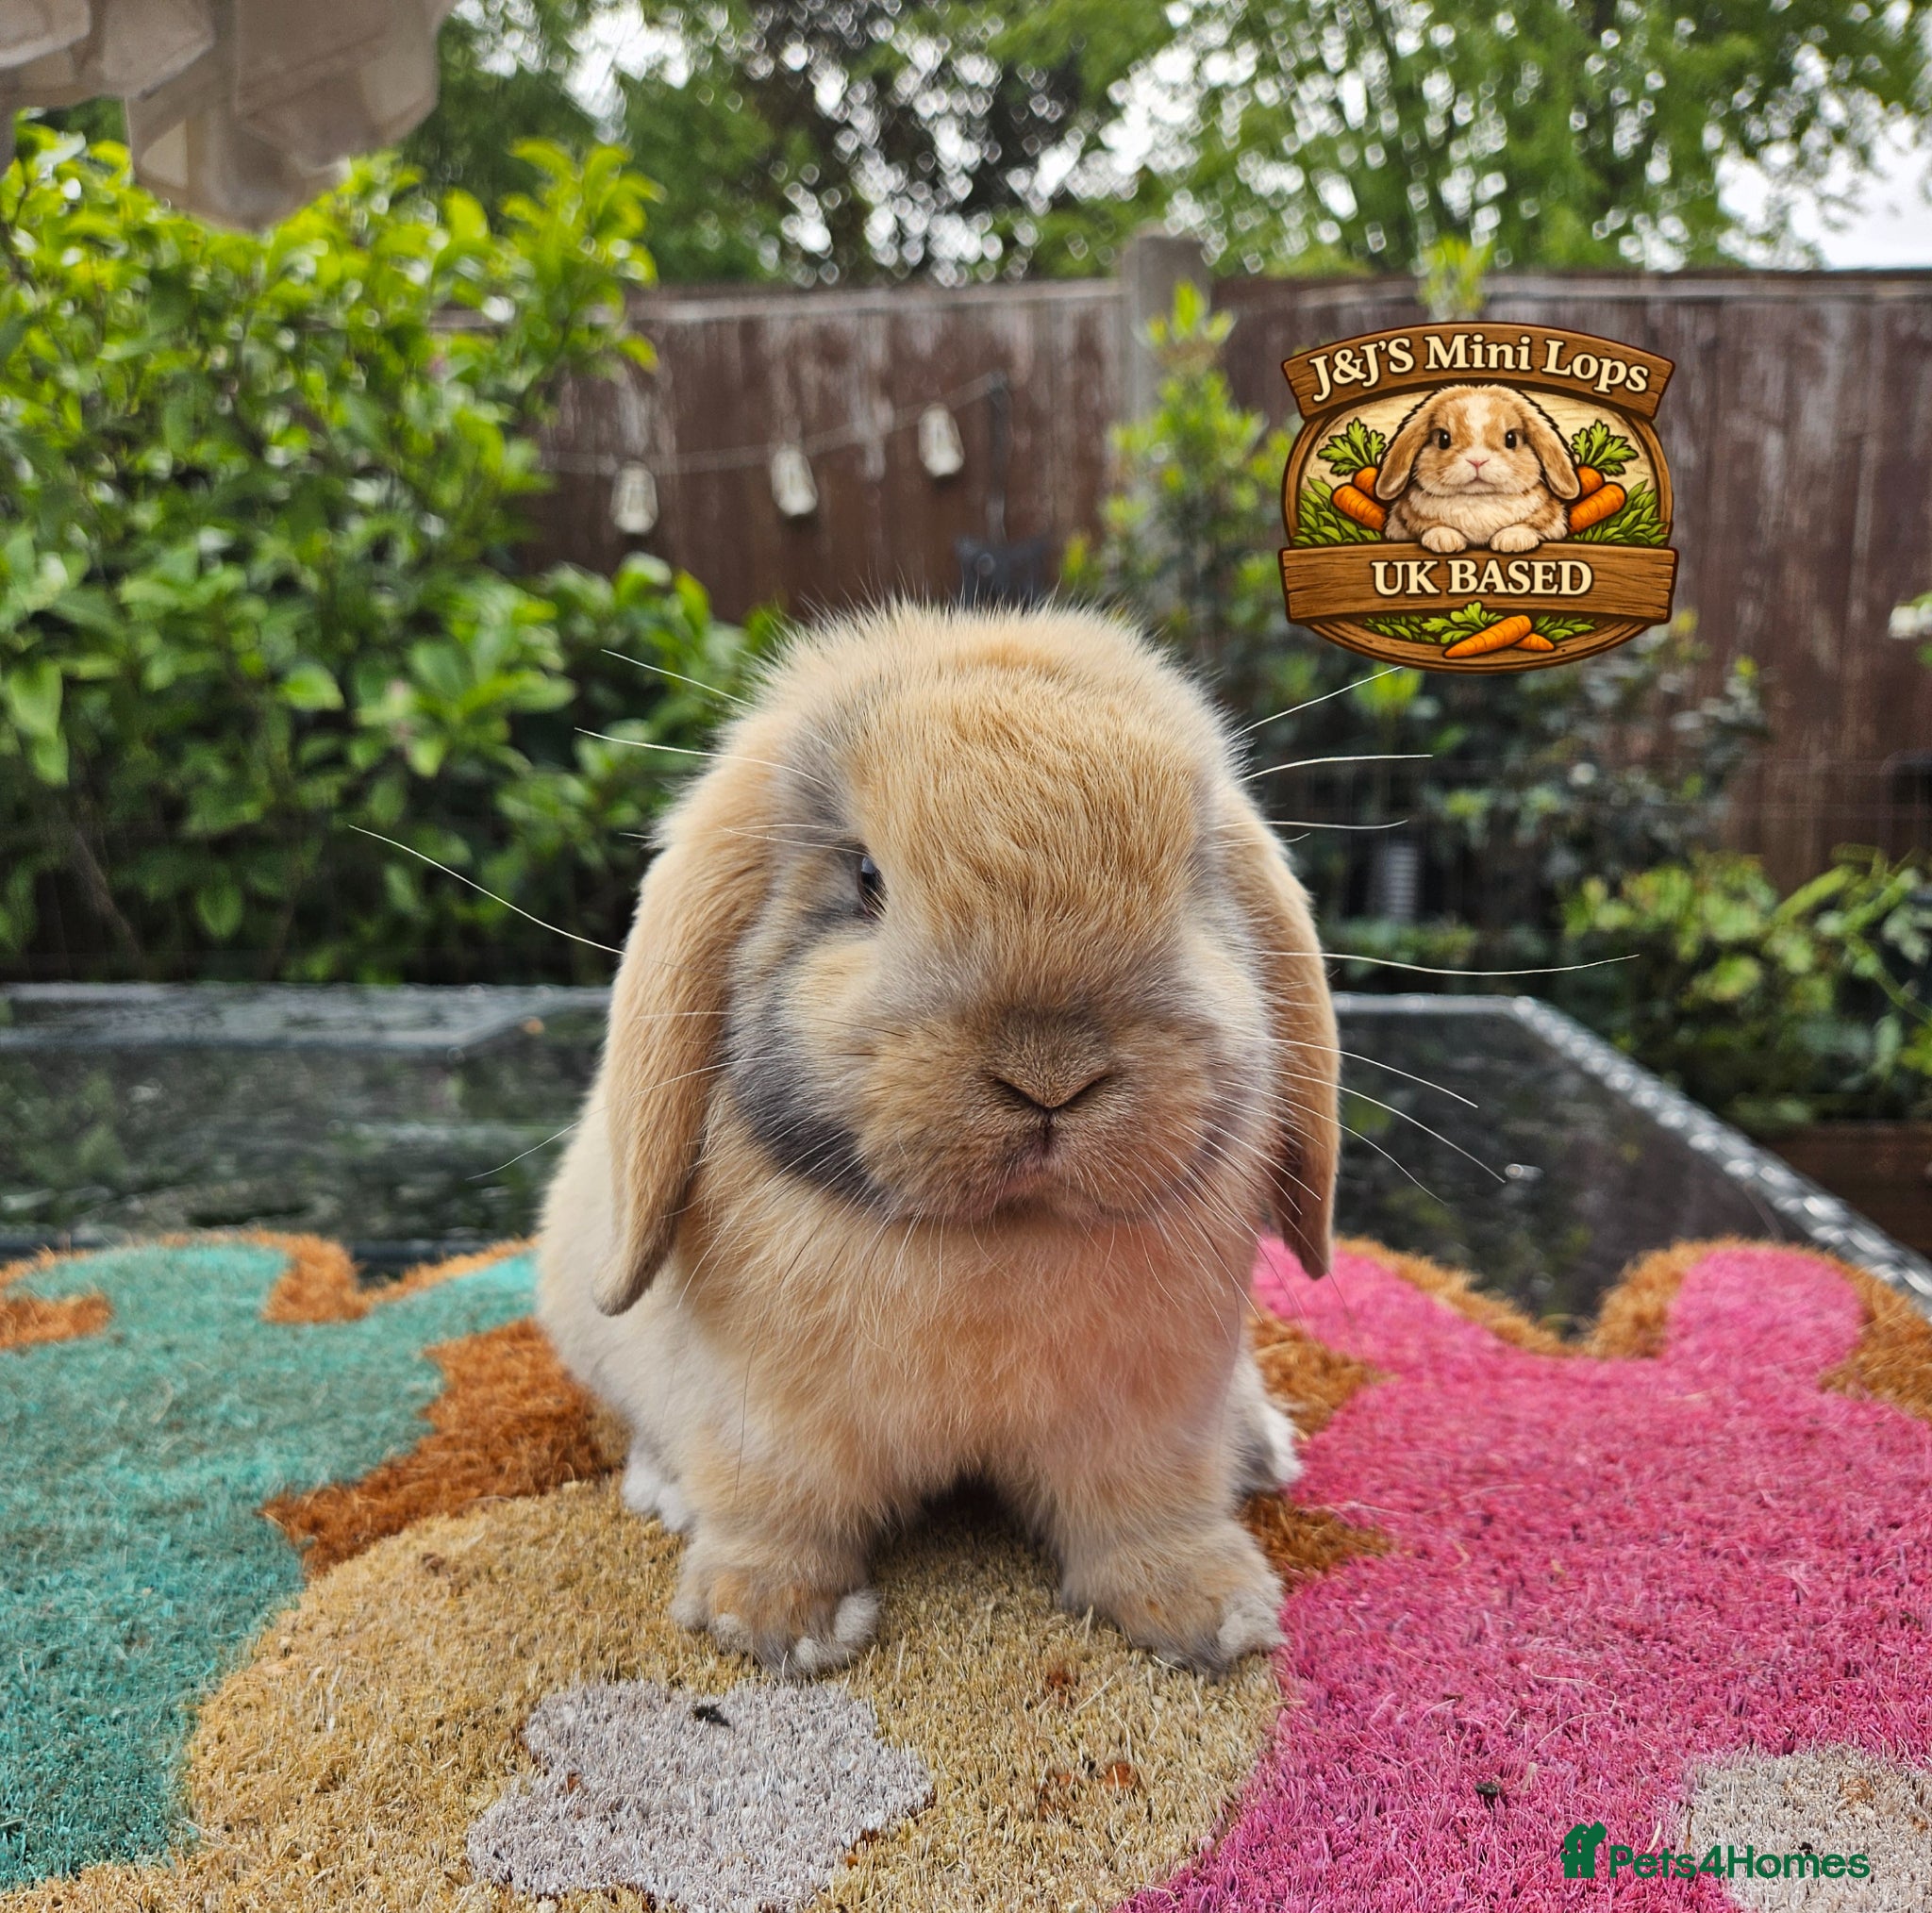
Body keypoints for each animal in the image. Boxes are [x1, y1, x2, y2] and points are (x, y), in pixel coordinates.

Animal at [537, 604, 1339, 1679]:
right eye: (865, 878)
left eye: (1189, 878)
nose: (1049, 1076)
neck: (994, 1240)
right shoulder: (766, 1422)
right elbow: (778, 1512)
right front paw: (775, 1624)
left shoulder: (1153, 1421)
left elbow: (1146, 1516)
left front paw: (1210, 1615)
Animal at [1375, 383, 1580, 554]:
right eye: (1443, 439)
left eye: (1511, 439)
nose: (1477, 461)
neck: (1478, 500)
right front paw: (1444, 539)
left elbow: (1529, 524)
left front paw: (1513, 539)